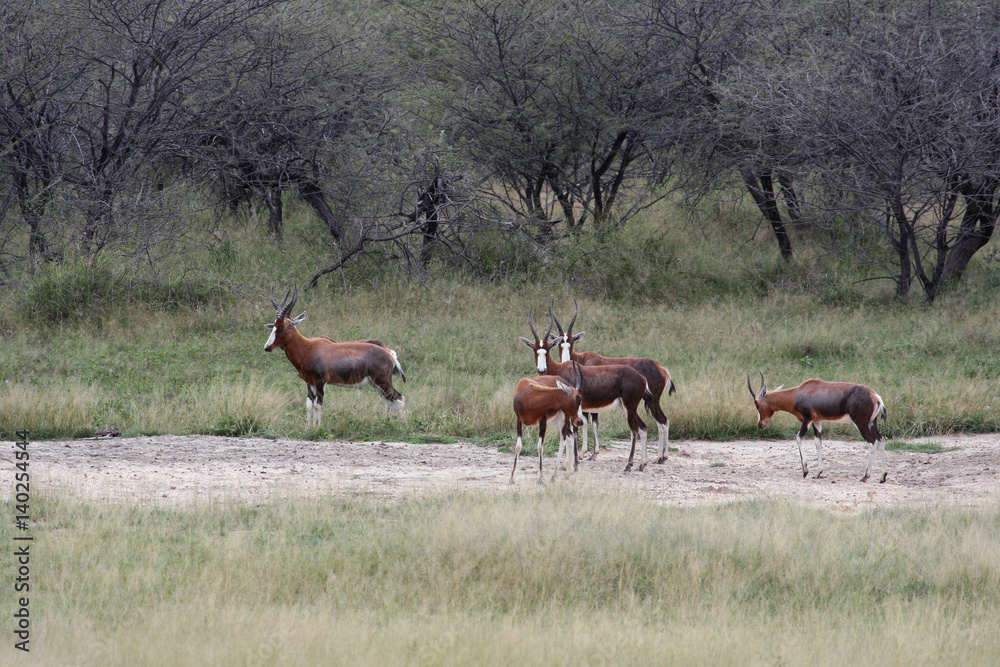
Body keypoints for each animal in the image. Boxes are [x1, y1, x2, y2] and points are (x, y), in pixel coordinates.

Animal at [264, 288, 406, 426]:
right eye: (273, 326)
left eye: (281, 327)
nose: (267, 347)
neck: (309, 347)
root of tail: (389, 353)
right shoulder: (310, 383)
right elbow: (309, 406)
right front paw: (308, 428)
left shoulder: (321, 382)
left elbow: (318, 406)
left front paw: (317, 428)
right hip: (376, 385)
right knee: (389, 401)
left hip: (382, 382)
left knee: (399, 398)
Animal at [520, 311, 653, 472]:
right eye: (535, 349)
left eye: (548, 348)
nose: (541, 370)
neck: (561, 369)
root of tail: (641, 377)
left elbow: (572, 432)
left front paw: (571, 463)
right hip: (627, 407)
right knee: (643, 427)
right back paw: (642, 464)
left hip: (630, 406)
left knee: (634, 430)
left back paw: (628, 465)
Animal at [550, 300, 676, 463]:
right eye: (560, 343)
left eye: (571, 342)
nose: (565, 360)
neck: (583, 359)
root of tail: (662, 369)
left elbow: (590, 422)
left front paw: (587, 454)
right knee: (661, 423)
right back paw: (660, 457)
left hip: (652, 401)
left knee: (663, 422)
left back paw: (660, 457)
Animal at [748, 373, 888, 482]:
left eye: (756, 403)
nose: (761, 424)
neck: (798, 393)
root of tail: (875, 396)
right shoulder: (817, 422)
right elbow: (818, 443)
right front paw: (818, 473)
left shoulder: (807, 419)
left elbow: (798, 437)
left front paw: (805, 471)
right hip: (872, 423)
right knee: (881, 439)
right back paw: (882, 477)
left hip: (861, 423)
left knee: (872, 442)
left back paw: (865, 476)